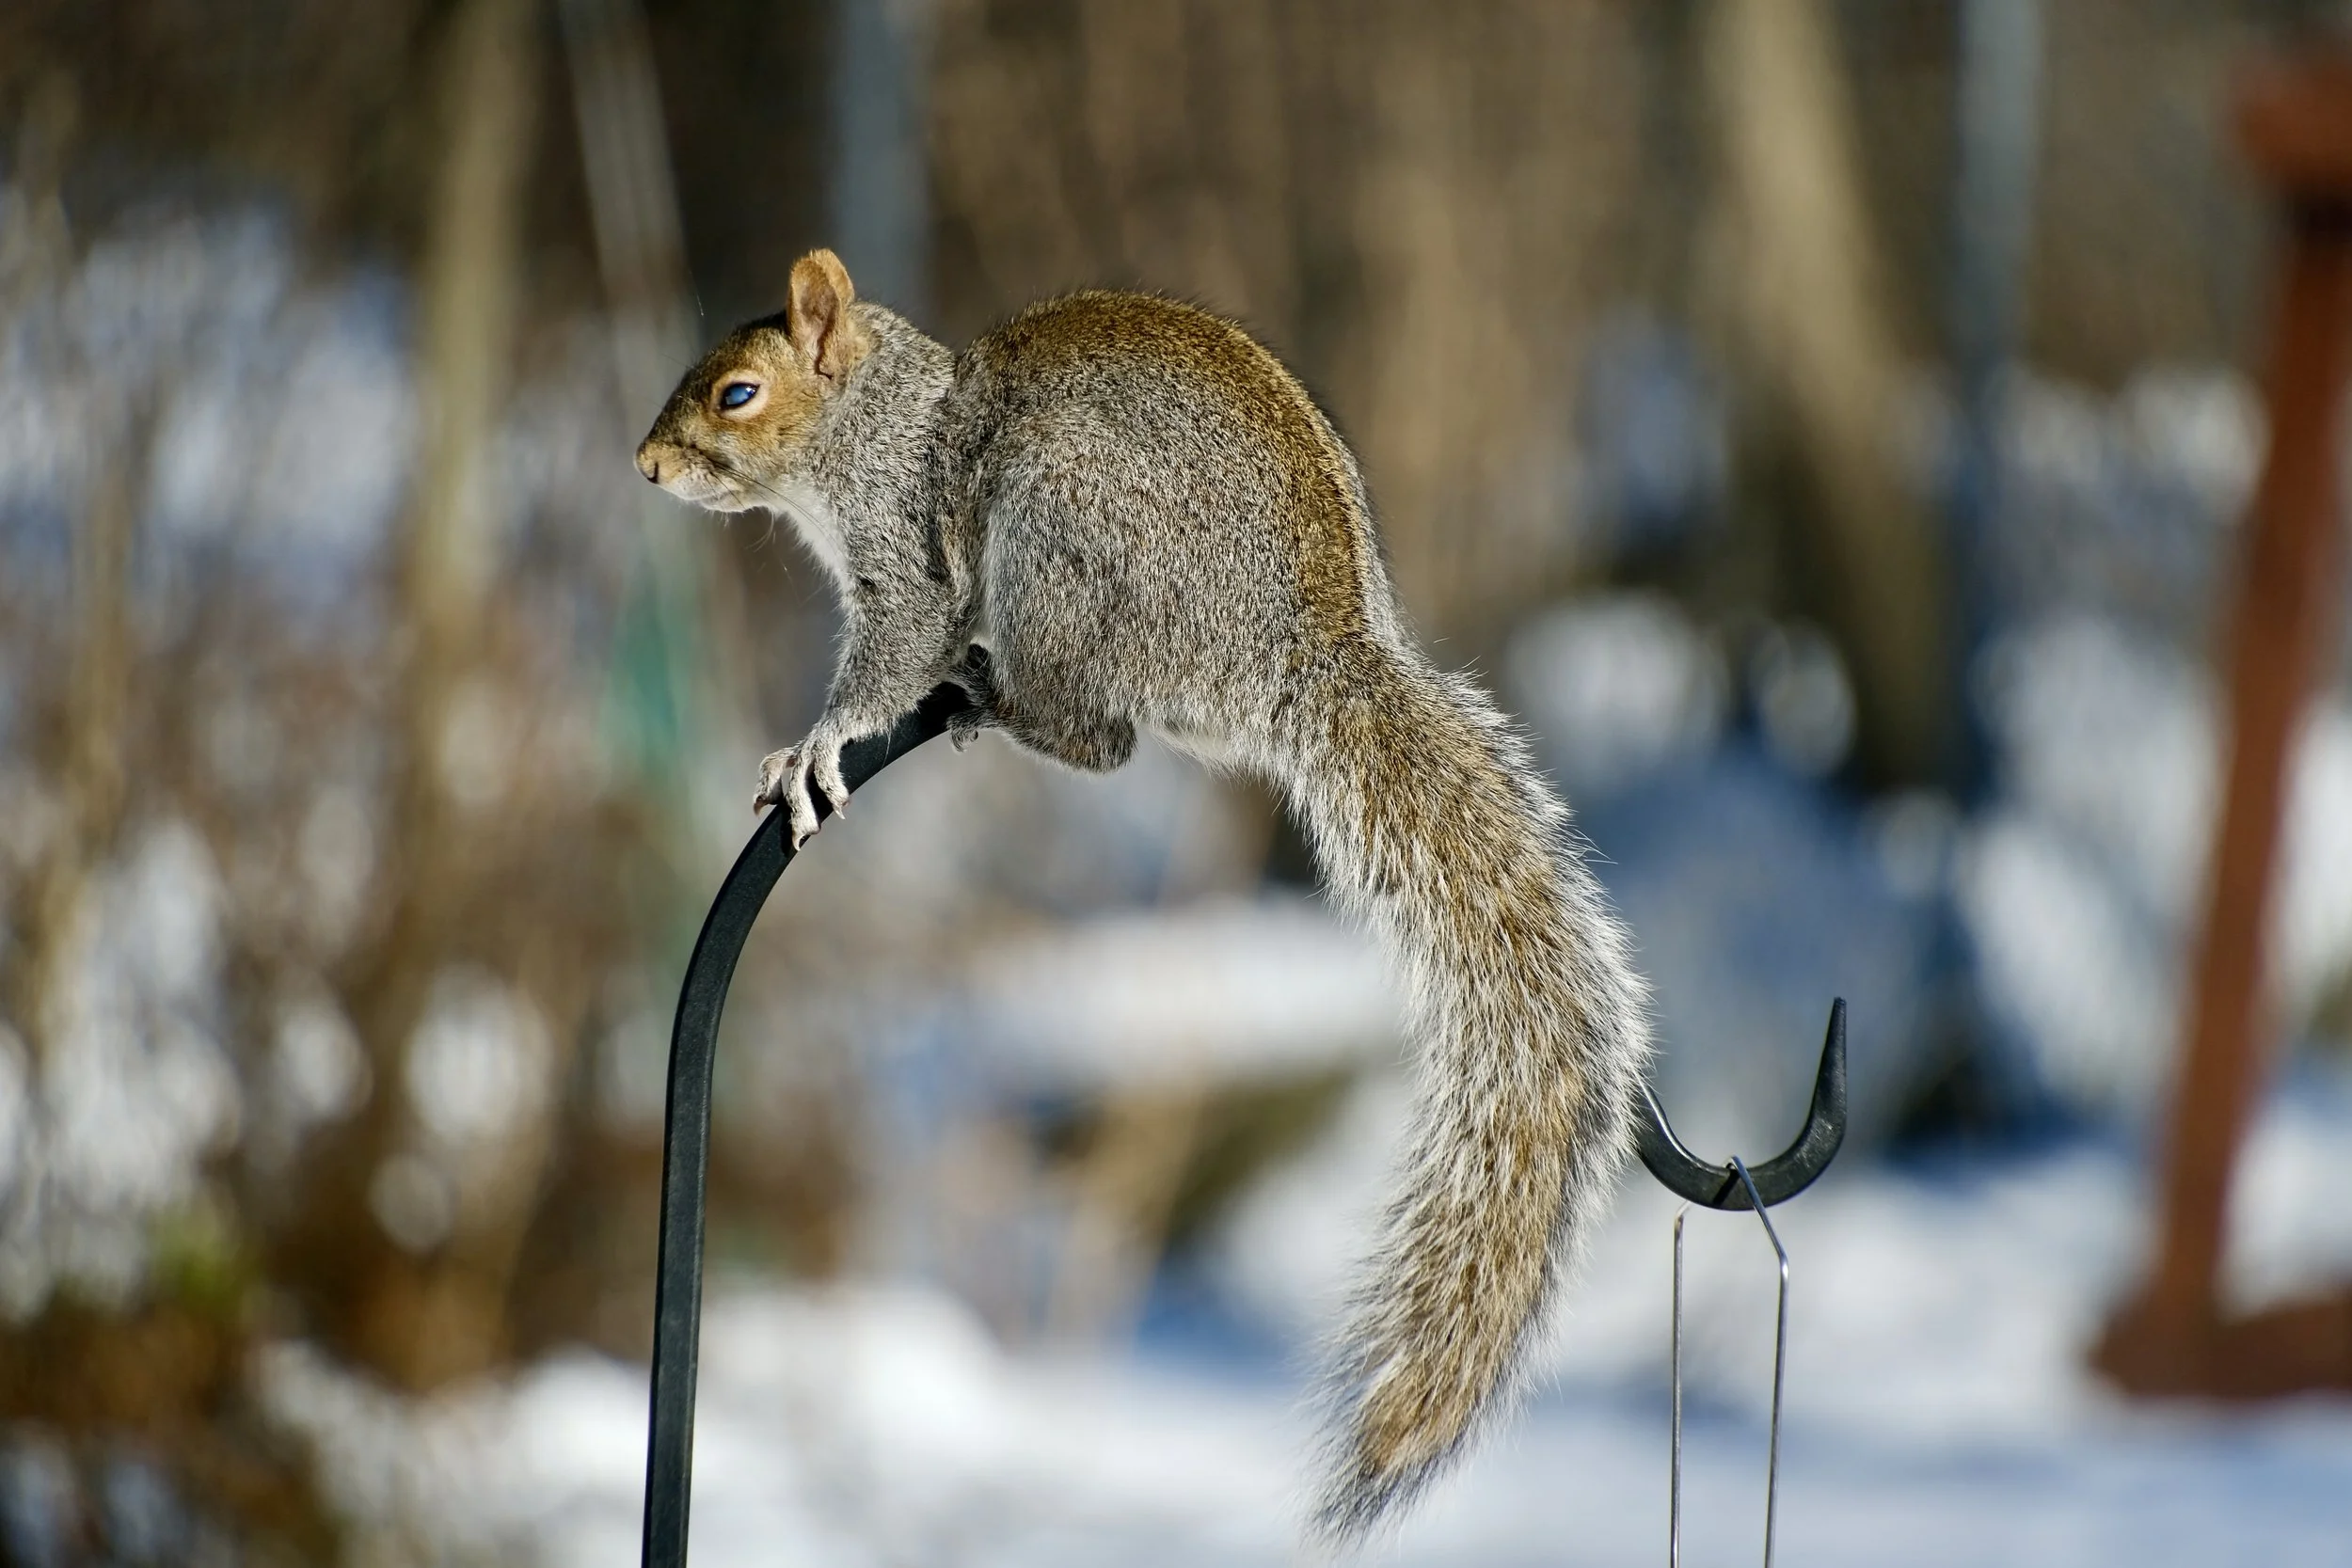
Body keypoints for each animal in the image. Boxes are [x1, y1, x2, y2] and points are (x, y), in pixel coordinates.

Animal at [636, 249, 1651, 1543]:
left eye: (738, 394)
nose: (645, 464)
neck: (882, 422)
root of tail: (1299, 657)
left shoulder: (911, 552)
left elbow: (899, 647)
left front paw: (819, 743)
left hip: (1064, 537)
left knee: (1097, 735)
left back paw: (999, 697)